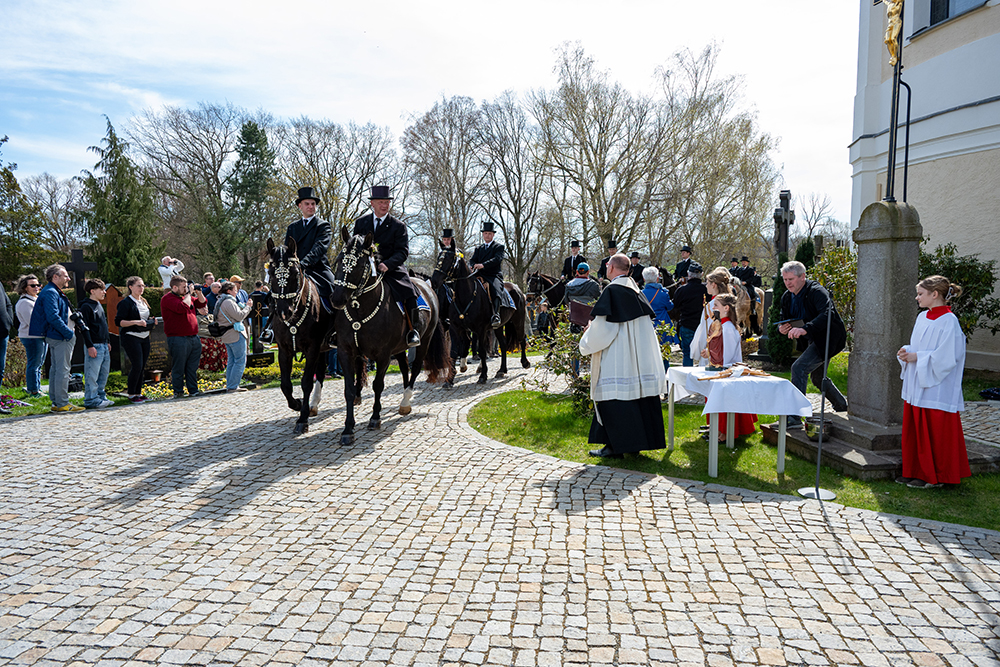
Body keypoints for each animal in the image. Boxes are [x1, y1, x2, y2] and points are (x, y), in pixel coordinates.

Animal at [265, 237, 337, 434]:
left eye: (295, 272)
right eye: (271, 273)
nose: (284, 312)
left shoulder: (312, 348)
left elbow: (305, 383)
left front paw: (302, 419)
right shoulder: (284, 349)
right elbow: (285, 384)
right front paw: (296, 404)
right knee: (321, 371)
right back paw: (313, 405)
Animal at [331, 228, 451, 445]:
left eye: (359, 264)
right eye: (339, 260)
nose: (337, 299)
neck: (360, 310)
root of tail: (426, 285)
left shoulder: (383, 355)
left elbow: (378, 385)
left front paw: (375, 418)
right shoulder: (346, 352)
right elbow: (349, 389)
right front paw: (348, 429)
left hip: (424, 341)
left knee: (416, 368)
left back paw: (405, 401)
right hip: (401, 347)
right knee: (404, 368)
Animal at [432, 243, 530, 384]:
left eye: (449, 259)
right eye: (439, 257)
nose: (434, 281)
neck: (465, 296)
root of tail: (517, 288)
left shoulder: (480, 329)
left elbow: (482, 351)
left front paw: (483, 375)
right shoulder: (455, 328)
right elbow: (454, 351)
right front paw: (449, 380)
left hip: (518, 321)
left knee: (522, 338)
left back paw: (525, 363)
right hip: (498, 326)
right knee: (503, 344)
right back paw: (502, 370)